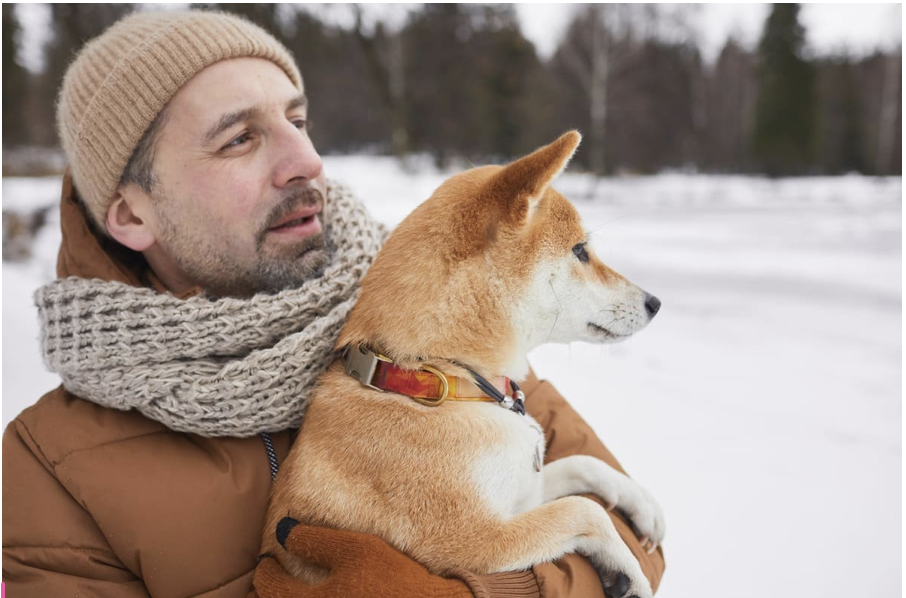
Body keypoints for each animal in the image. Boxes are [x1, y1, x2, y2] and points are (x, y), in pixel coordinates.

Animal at [262, 132, 664, 598]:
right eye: (580, 251)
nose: (655, 303)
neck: (434, 377)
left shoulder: (522, 494)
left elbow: (582, 465)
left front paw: (642, 505)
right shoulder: (473, 542)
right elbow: (582, 511)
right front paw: (631, 573)